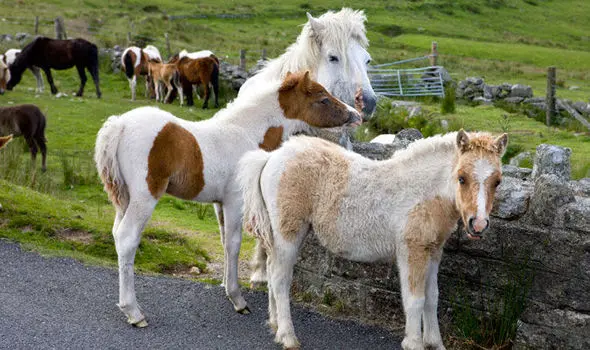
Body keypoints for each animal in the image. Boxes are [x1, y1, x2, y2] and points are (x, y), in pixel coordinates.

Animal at [95, 72, 364, 328]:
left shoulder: (219, 204)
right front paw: (238, 299)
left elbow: (224, 242)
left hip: (124, 199)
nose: (356, 115)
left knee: (117, 234)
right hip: (144, 197)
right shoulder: (236, 202)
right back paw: (134, 312)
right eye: (323, 99)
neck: (247, 134)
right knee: (127, 238)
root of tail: (119, 125)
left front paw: (226, 286)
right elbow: (234, 244)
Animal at [239, 131, 508, 350]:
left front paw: (435, 343)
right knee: (280, 279)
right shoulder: (412, 250)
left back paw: (275, 325)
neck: (424, 191)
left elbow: (432, 297)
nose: (478, 225)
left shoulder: (433, 250)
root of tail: (272, 157)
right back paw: (287, 336)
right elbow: (415, 299)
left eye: (497, 181)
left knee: (271, 272)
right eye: (461, 177)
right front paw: (414, 343)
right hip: (289, 232)